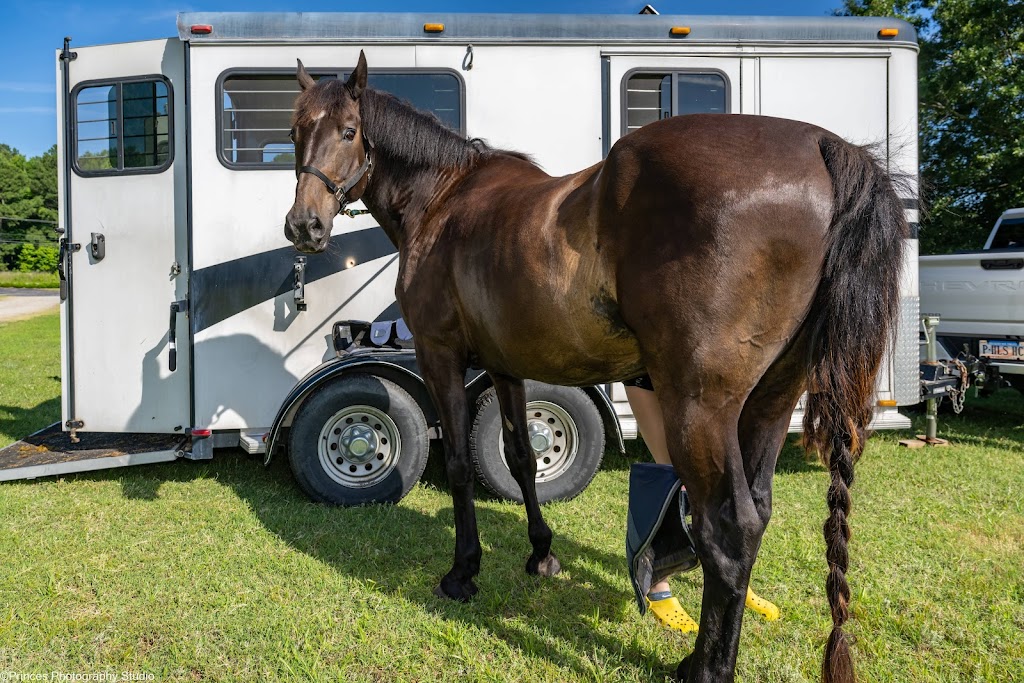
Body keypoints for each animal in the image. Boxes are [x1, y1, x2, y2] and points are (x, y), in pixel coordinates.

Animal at [283, 52, 907, 683]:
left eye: (349, 132)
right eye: (294, 131)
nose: (303, 226)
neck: (443, 200)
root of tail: (823, 147)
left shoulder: (442, 357)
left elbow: (459, 465)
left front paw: (463, 572)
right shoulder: (506, 368)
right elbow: (523, 459)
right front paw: (541, 553)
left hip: (701, 406)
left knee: (729, 530)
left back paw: (706, 668)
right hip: (770, 403)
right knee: (756, 510)